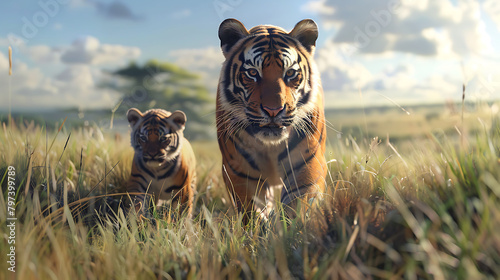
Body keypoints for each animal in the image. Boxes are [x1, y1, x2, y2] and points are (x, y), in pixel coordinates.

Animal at [216, 19, 328, 219]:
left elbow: (298, 205)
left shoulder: (307, 163)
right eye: (252, 73)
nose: (273, 110)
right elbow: (252, 211)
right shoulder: (240, 170)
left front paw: (293, 226)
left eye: (290, 73)